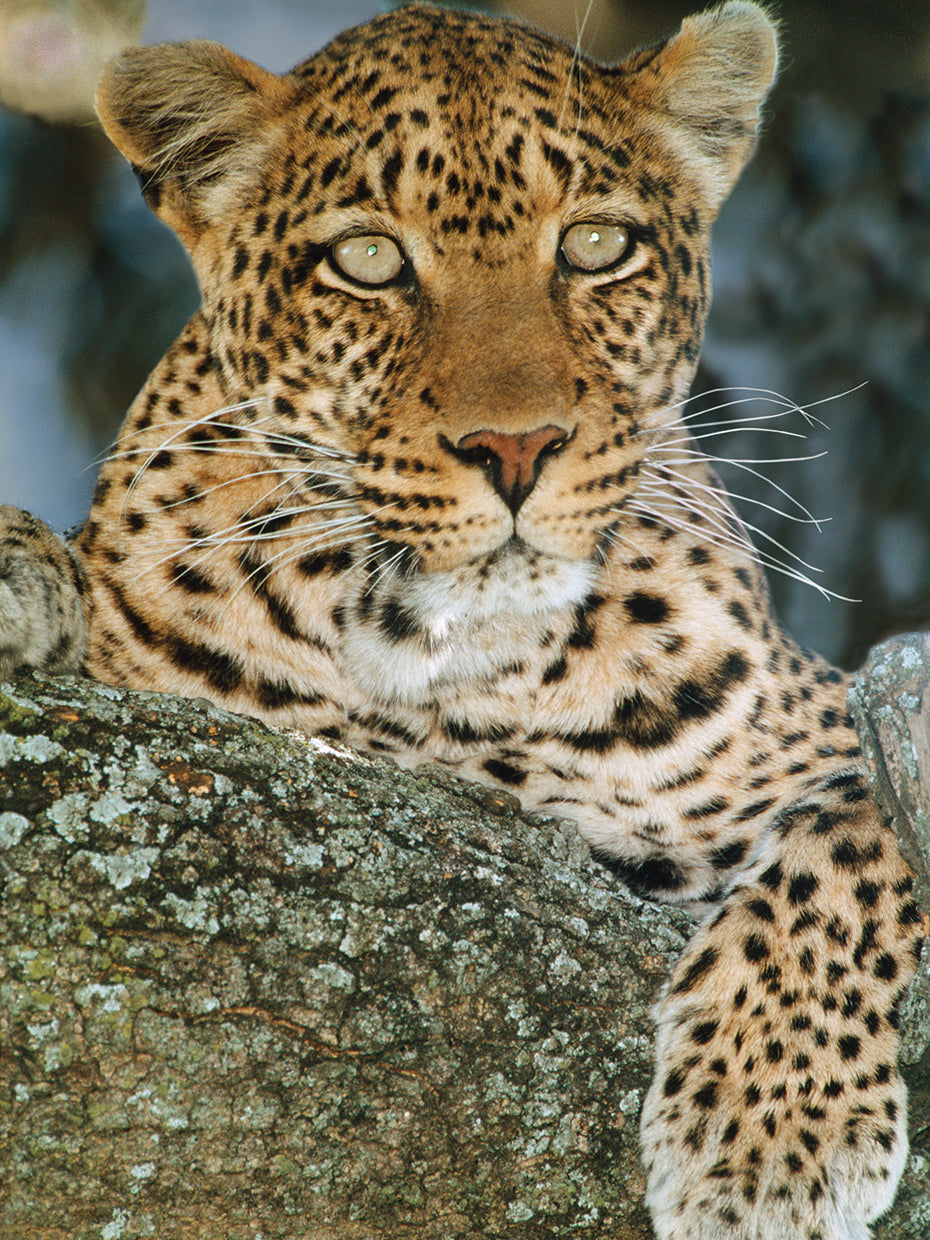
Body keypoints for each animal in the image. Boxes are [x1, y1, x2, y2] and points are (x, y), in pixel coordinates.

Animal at [0, 3, 924, 1237]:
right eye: (369, 260)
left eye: (595, 245)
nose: (517, 447)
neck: (438, 662)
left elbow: (852, 835)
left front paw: (772, 1132)